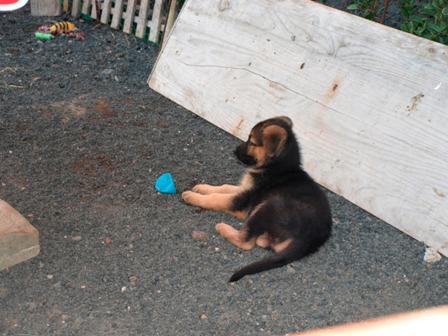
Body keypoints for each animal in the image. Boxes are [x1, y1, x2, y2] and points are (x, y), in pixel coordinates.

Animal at [182, 115, 332, 280]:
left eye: (252, 142)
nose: (234, 151)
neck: (276, 166)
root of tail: (312, 239)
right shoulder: (244, 189)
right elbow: (223, 187)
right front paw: (202, 187)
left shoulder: (242, 201)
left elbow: (217, 198)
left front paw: (191, 196)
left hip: (269, 206)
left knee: (246, 242)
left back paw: (223, 228)